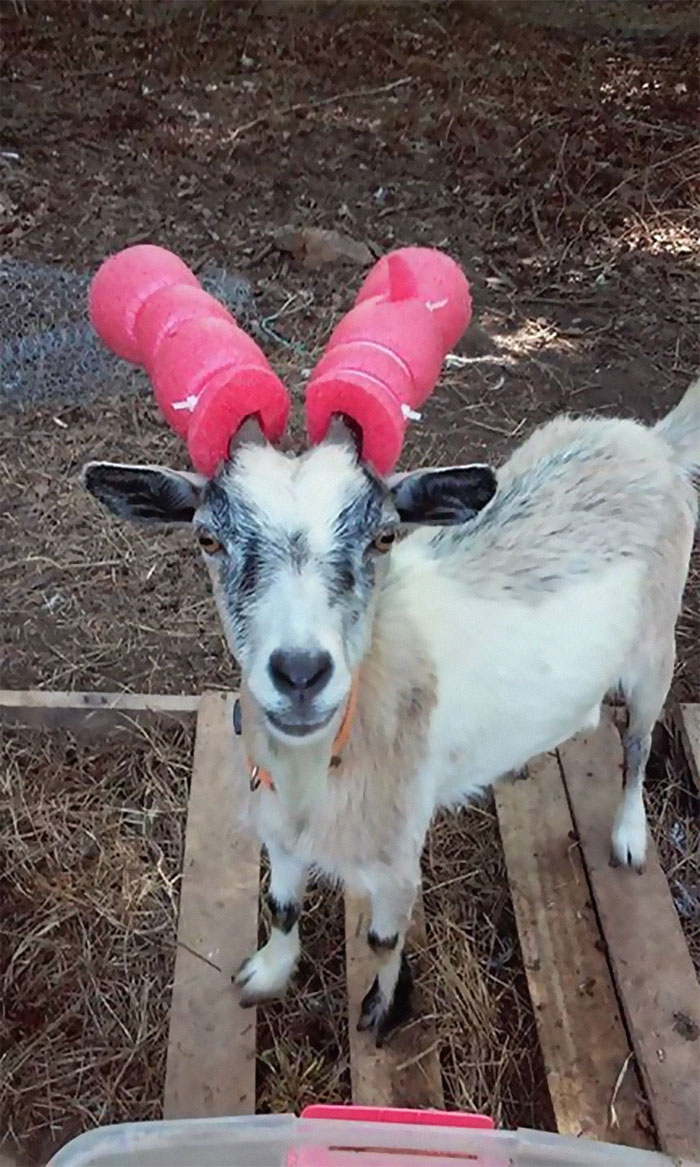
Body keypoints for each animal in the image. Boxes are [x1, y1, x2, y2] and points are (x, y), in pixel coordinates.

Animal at [82, 376, 699, 1043]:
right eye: (208, 539)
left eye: (383, 536)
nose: (301, 672)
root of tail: (653, 441)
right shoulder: (279, 830)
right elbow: (281, 905)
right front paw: (267, 974)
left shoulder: (397, 855)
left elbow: (382, 938)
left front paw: (381, 1010)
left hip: (655, 651)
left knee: (639, 742)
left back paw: (629, 836)